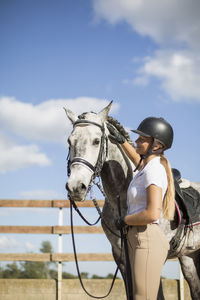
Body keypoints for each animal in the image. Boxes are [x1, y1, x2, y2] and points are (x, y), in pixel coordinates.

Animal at [65, 102, 200, 298]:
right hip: (189, 258)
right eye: (70, 141)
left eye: (96, 141)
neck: (122, 196)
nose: (75, 187)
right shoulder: (122, 258)